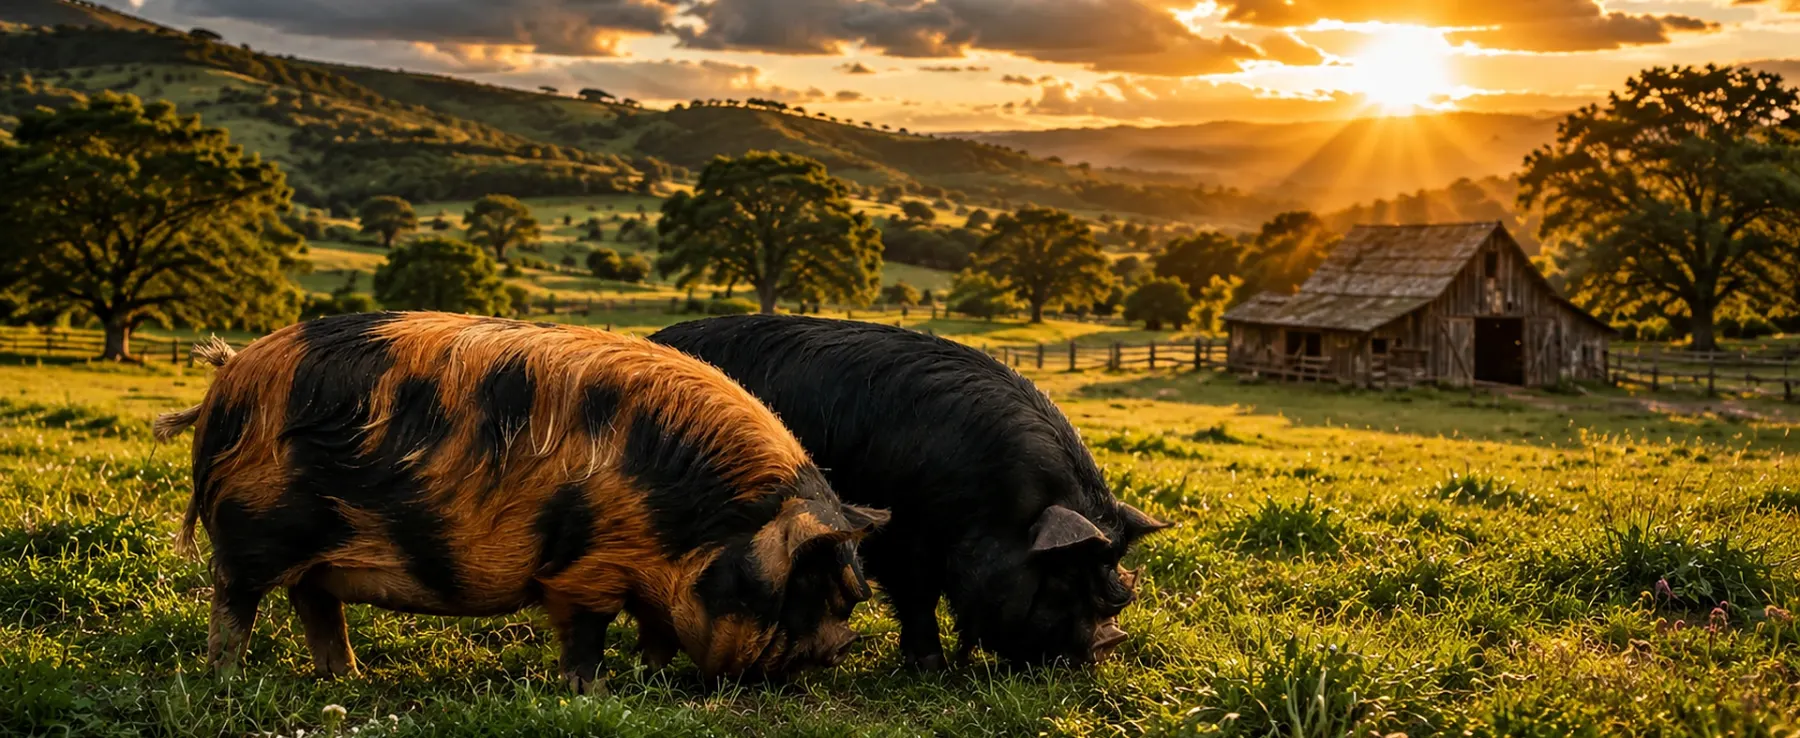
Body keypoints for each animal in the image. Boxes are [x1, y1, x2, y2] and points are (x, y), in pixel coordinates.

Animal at [154, 312, 887, 691]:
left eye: (848, 595)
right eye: (806, 588)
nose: (845, 646)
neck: (691, 524)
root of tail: (229, 377)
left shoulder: (649, 579)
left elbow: (656, 630)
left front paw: (648, 679)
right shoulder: (585, 571)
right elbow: (587, 633)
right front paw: (591, 692)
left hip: (318, 555)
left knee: (315, 602)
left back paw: (347, 680)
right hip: (253, 532)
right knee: (235, 597)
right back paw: (227, 681)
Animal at [650, 315, 1167, 670]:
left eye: (1114, 572)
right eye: (1064, 575)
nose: (1107, 644)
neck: (991, 504)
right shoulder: (901, 540)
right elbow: (917, 600)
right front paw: (931, 668)